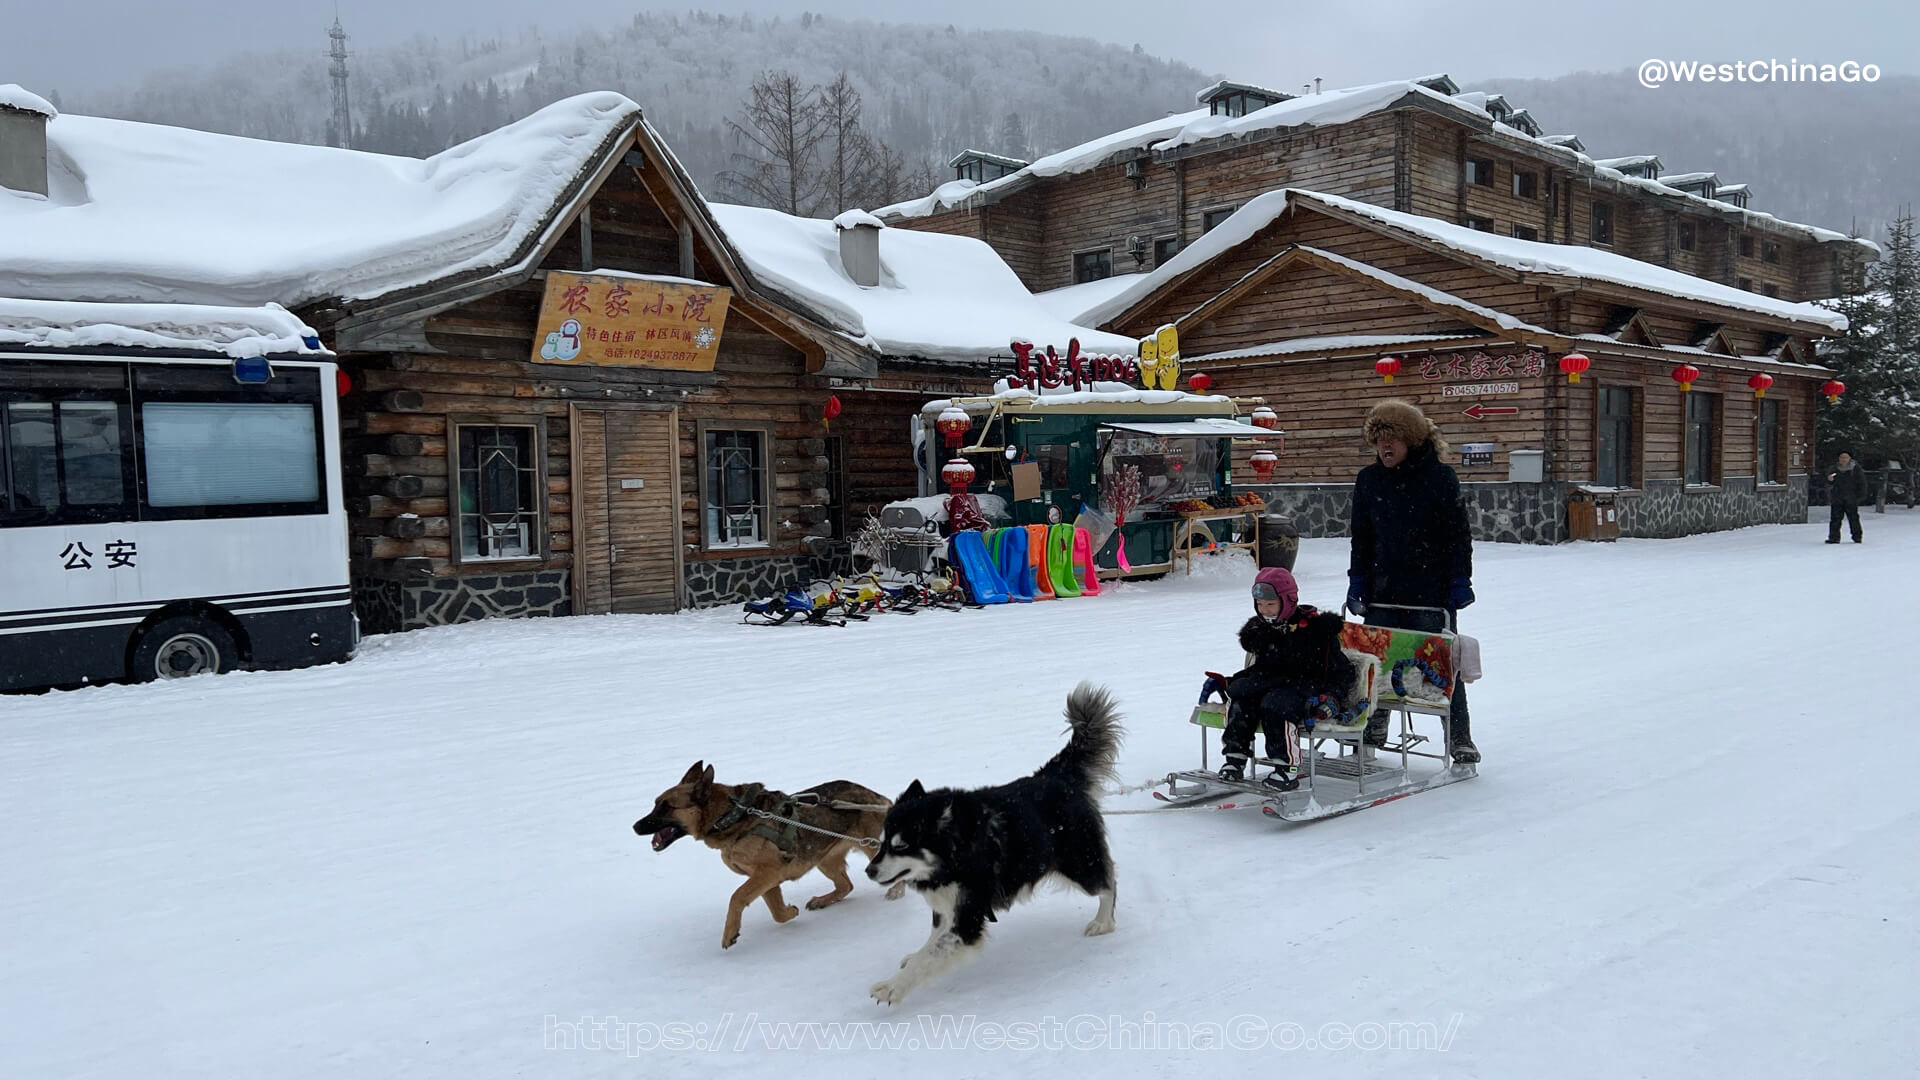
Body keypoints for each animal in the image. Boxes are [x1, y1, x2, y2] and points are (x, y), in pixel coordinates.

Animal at [629, 757, 898, 941]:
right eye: (655, 804)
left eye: (666, 807)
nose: (634, 827)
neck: (730, 816)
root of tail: (880, 798)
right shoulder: (766, 878)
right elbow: (777, 912)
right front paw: (790, 912)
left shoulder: (768, 873)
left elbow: (737, 897)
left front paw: (730, 933)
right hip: (824, 859)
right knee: (845, 885)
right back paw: (823, 901)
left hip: (872, 849)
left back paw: (896, 891)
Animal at [864, 680, 1121, 999]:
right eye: (881, 842)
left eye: (900, 845)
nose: (869, 871)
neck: (956, 854)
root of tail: (1055, 776)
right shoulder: (948, 906)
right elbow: (932, 942)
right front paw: (912, 957)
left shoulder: (969, 917)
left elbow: (931, 956)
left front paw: (892, 987)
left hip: (1078, 863)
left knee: (1108, 882)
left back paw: (1103, 922)